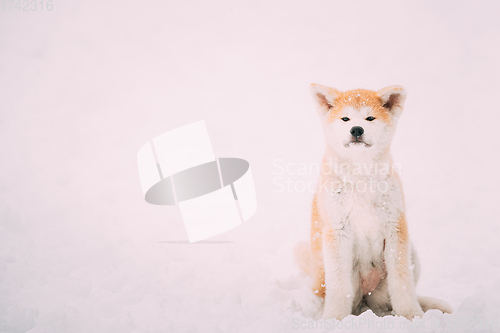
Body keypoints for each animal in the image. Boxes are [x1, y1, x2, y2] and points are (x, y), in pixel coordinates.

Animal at [292, 83, 454, 320]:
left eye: (370, 118)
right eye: (345, 119)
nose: (357, 130)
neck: (361, 179)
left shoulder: (395, 228)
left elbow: (402, 283)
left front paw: (411, 316)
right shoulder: (338, 231)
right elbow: (339, 288)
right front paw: (333, 319)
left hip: (409, 255)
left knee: (385, 303)